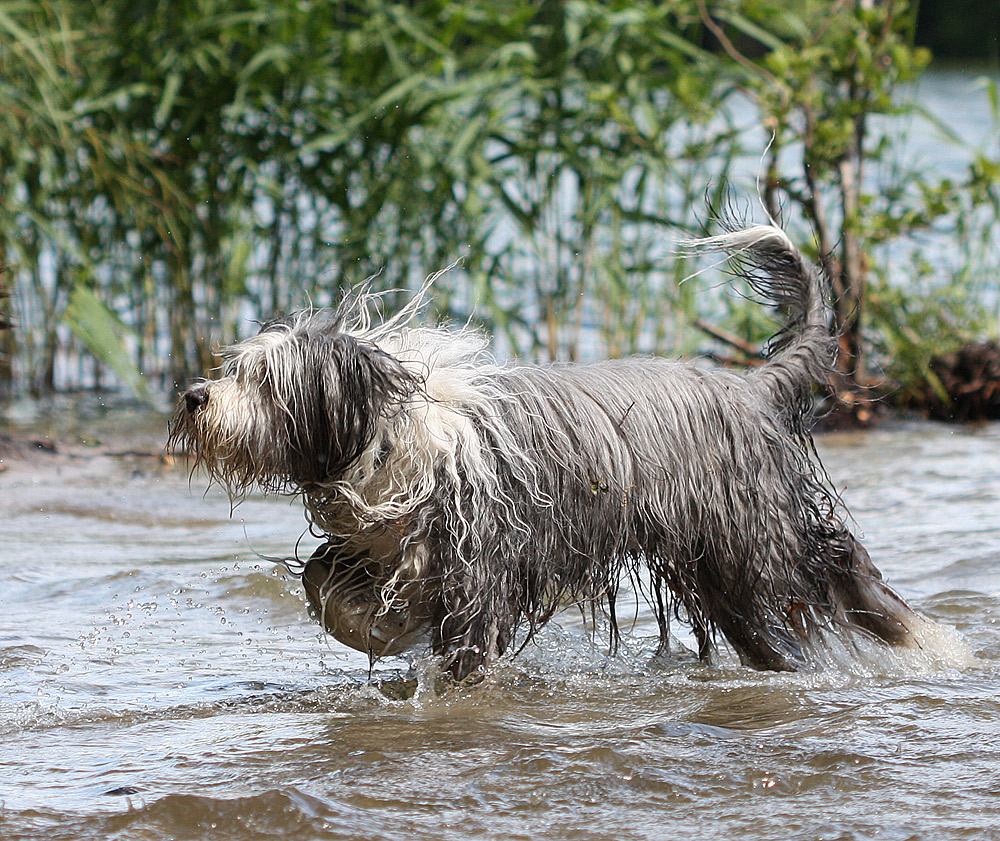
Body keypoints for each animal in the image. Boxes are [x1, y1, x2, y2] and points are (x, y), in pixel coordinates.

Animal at [170, 225, 920, 684]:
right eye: (234, 367)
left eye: (265, 381)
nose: (194, 397)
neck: (388, 428)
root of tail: (750, 388)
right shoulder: (385, 542)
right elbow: (321, 579)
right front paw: (371, 631)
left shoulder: (478, 562)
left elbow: (464, 642)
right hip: (718, 567)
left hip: (756, 539)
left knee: (839, 572)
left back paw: (924, 642)